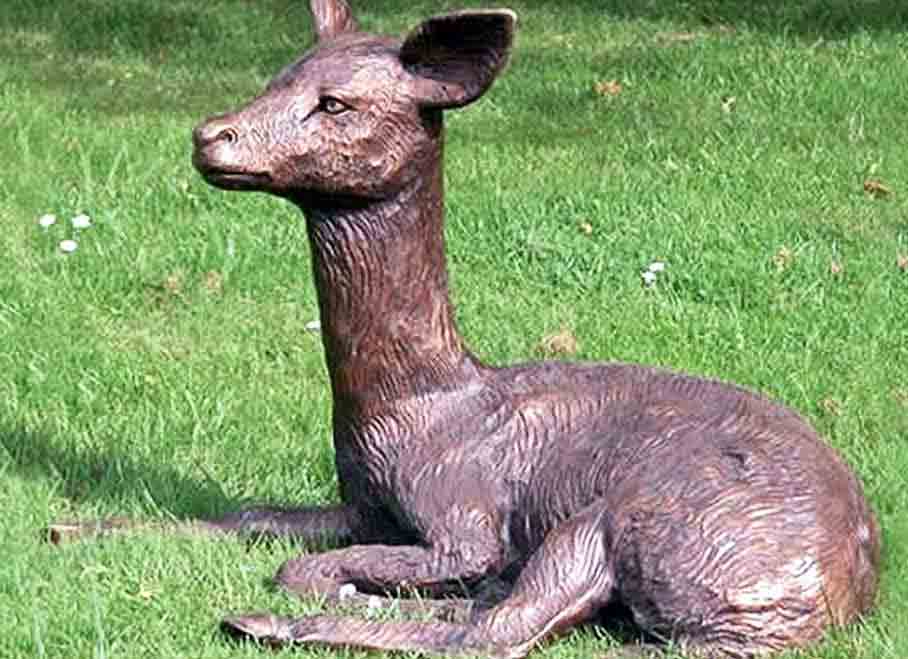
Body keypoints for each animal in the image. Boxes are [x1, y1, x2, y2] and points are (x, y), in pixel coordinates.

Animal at [48, 1, 881, 657]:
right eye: (276, 77)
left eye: (335, 103)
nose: (210, 135)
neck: (417, 408)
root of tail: (834, 596)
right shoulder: (362, 506)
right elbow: (249, 514)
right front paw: (82, 527)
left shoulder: (463, 515)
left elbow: (313, 563)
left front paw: (332, 588)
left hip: (636, 519)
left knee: (503, 629)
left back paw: (271, 621)